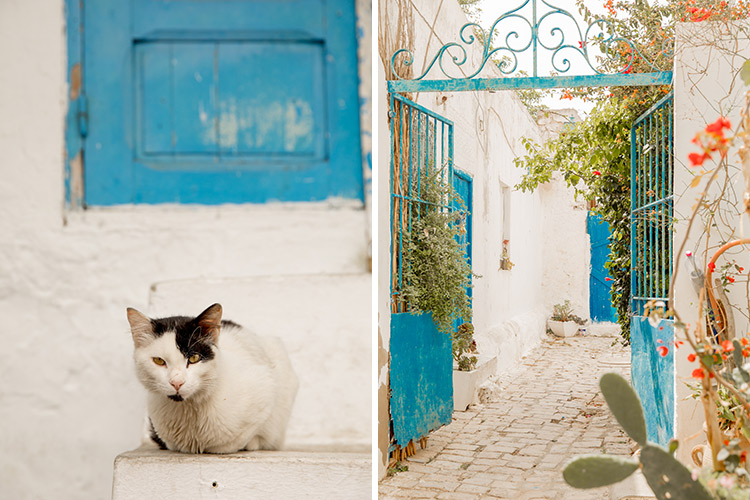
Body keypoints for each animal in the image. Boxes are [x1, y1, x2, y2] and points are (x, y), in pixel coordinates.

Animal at [125, 302, 298, 456]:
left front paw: (250, 443)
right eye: (159, 361)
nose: (177, 382)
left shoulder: (266, 388)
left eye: (194, 358)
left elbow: (244, 437)